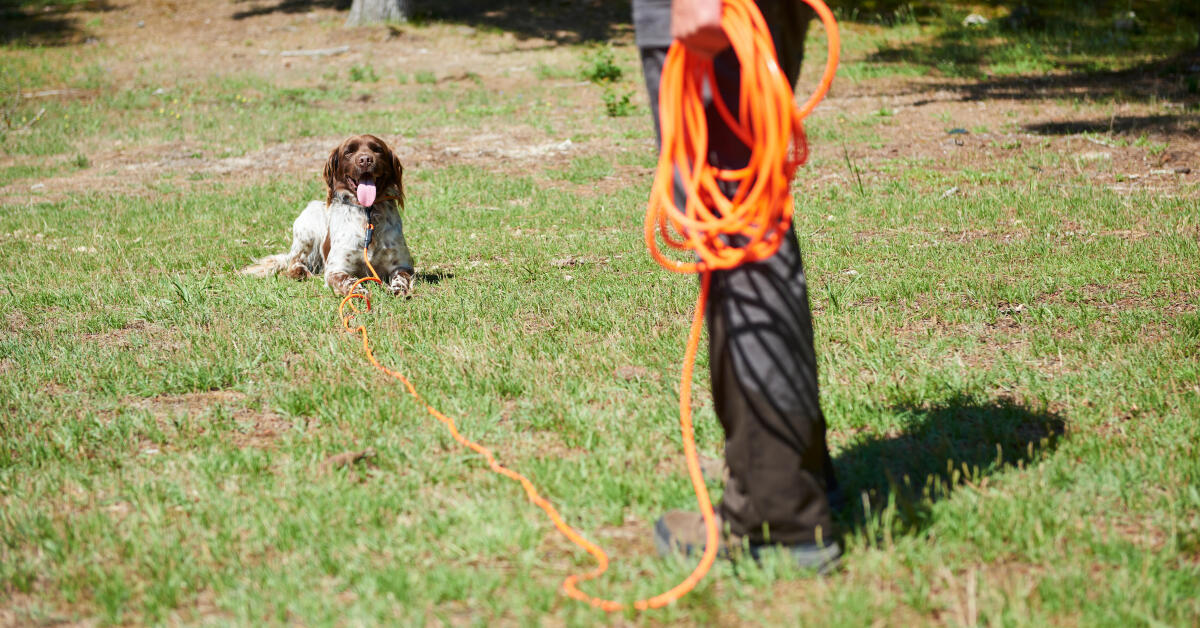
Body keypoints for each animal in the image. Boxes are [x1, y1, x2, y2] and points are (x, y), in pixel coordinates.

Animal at [238, 135, 417, 297]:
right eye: (349, 151)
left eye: (377, 149)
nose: (365, 159)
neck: (368, 216)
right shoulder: (336, 269)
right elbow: (349, 281)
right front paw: (359, 292)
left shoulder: (402, 265)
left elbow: (401, 278)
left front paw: (397, 289)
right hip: (308, 228)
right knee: (295, 262)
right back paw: (301, 273)